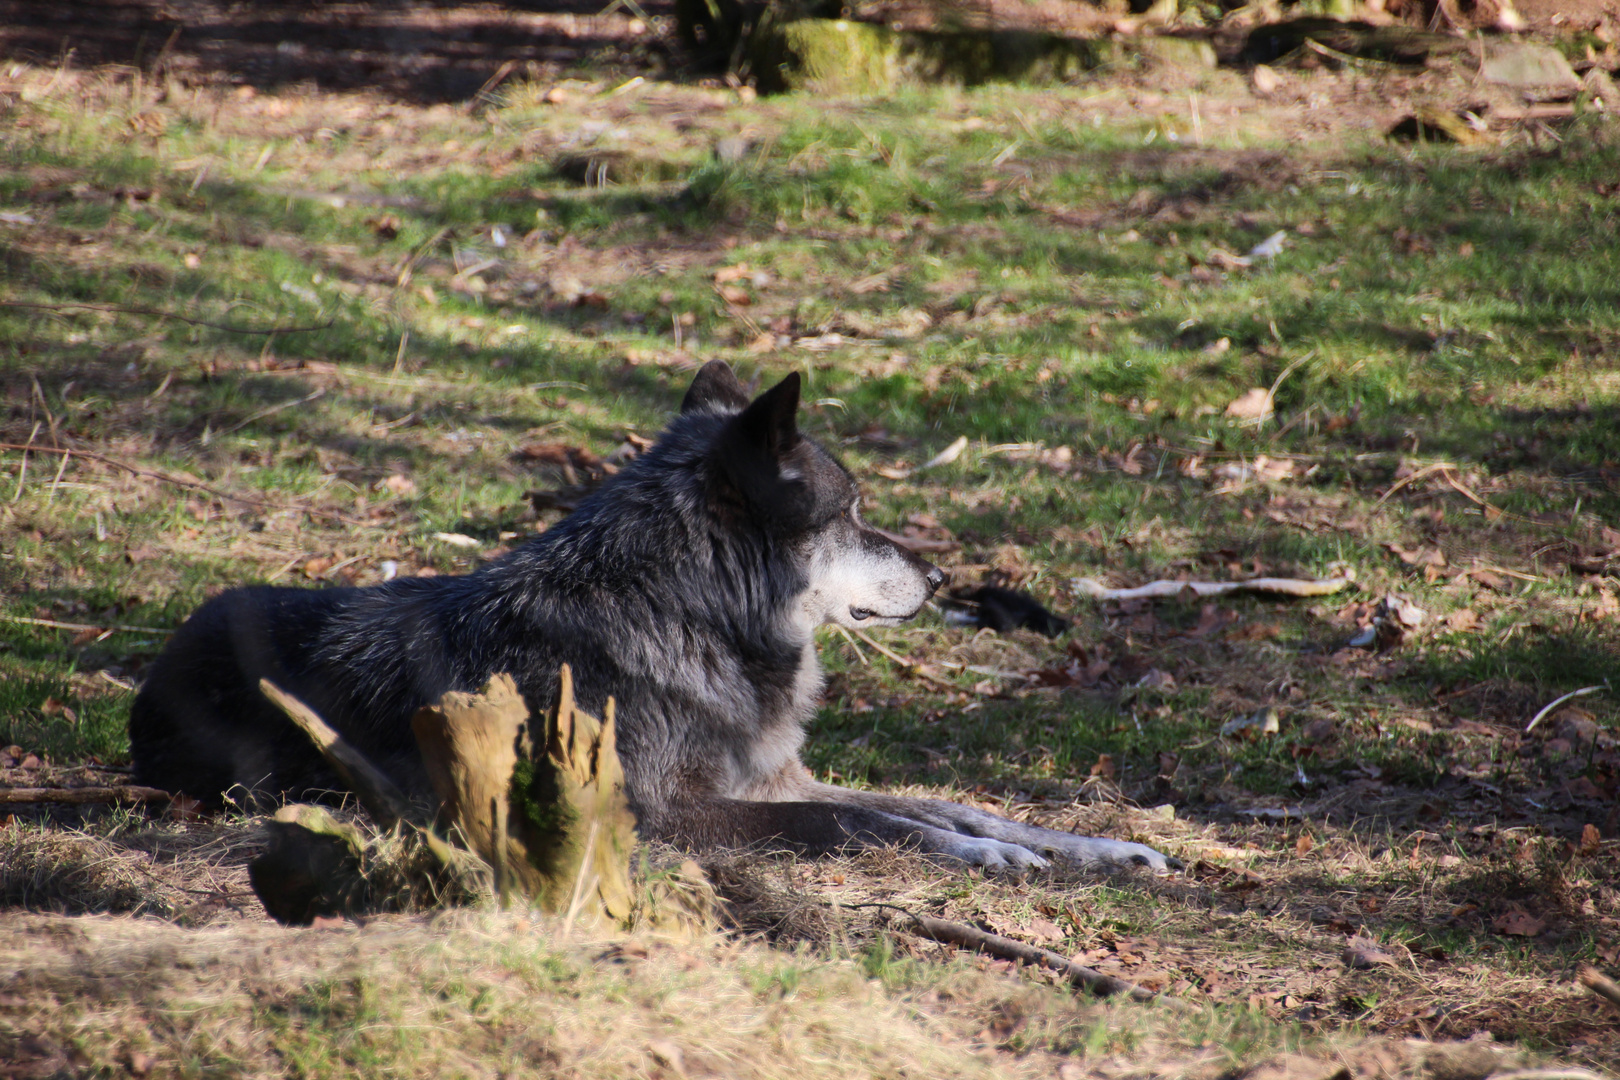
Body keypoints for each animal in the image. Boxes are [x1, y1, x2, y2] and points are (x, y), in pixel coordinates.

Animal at [129, 361, 1179, 867]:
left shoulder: (774, 780)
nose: (938, 573)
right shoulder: (663, 813)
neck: (689, 620)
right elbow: (862, 824)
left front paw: (1104, 850)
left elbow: (951, 803)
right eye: (851, 514)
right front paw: (986, 858)